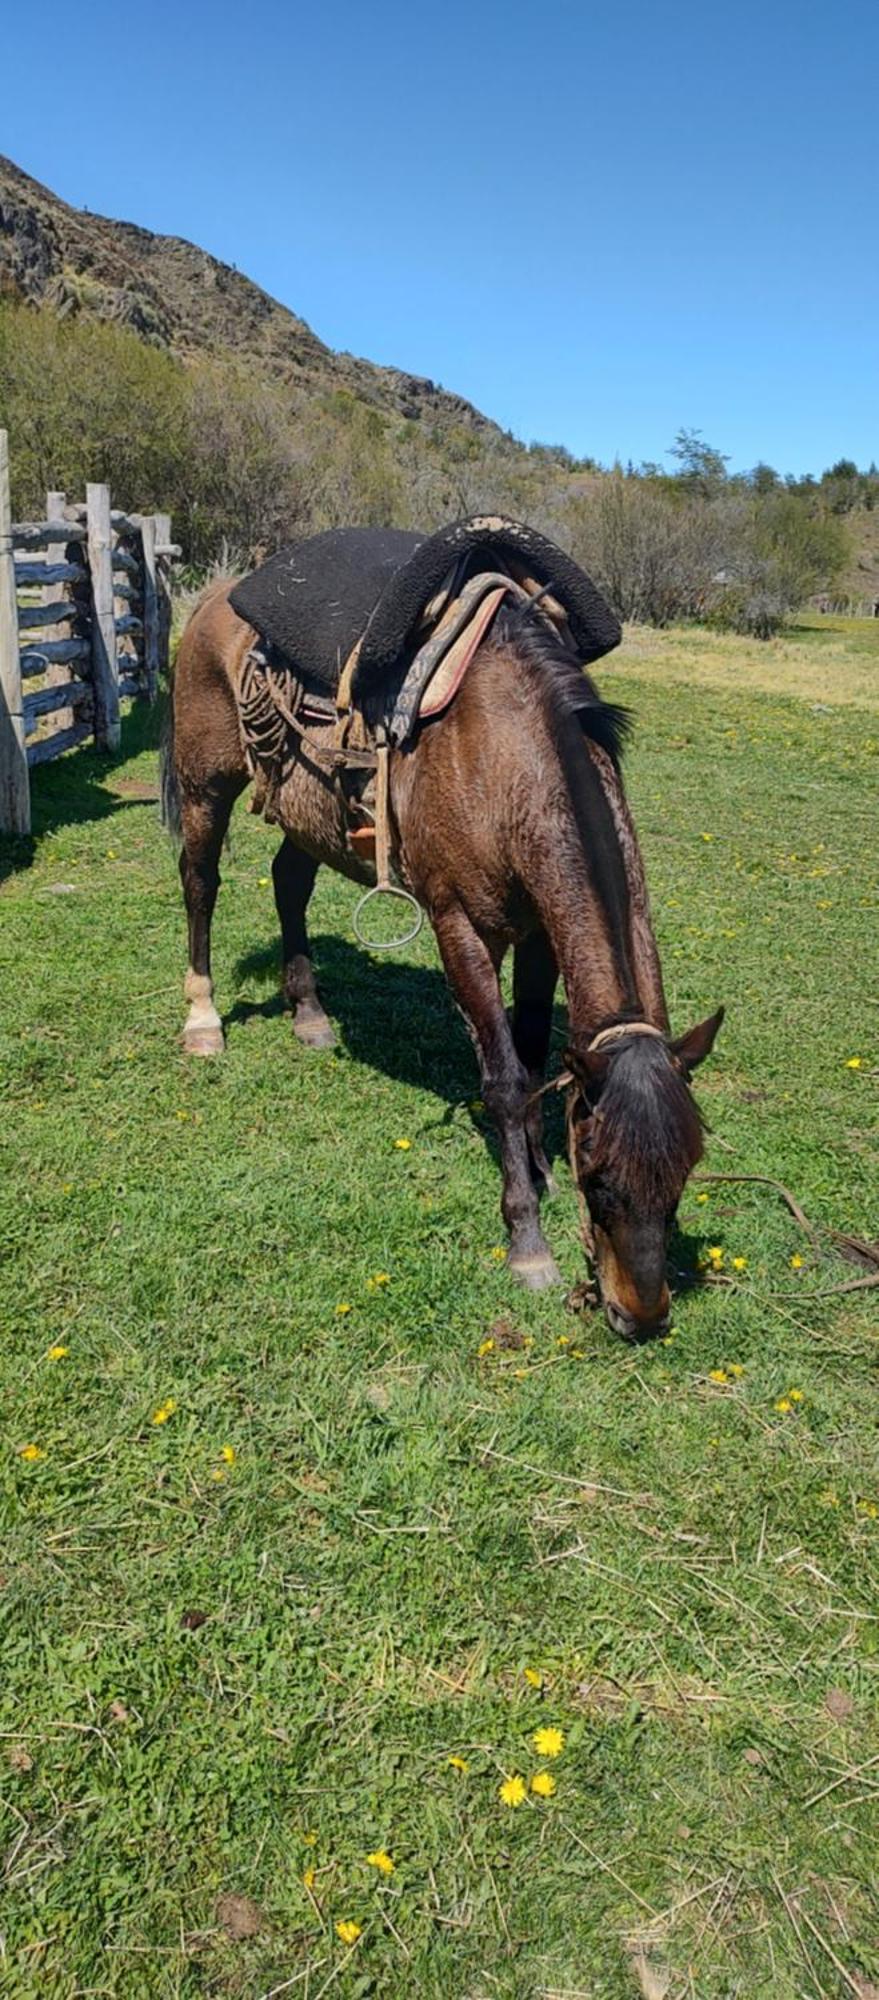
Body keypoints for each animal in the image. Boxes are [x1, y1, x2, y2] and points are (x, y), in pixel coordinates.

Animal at [162, 580, 719, 1336]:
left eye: (682, 1176)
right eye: (600, 1179)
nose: (641, 1317)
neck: (503, 758)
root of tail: (213, 600)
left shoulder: (539, 933)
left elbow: (534, 1055)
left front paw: (539, 1169)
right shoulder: (461, 928)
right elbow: (505, 1080)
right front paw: (527, 1241)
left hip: (309, 815)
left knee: (288, 882)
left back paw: (310, 1015)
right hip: (203, 784)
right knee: (200, 885)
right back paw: (203, 1020)